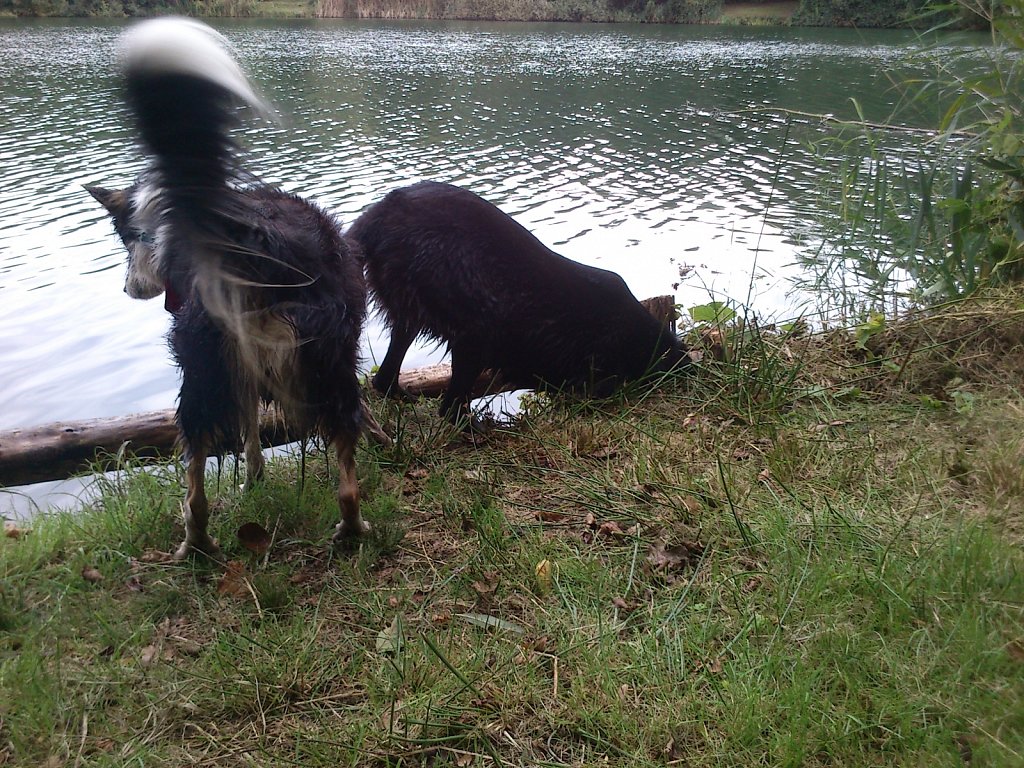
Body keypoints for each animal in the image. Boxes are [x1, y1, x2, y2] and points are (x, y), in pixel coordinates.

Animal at [89, 18, 380, 561]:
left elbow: (249, 432)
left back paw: (199, 544)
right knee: (343, 466)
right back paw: (346, 528)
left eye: (124, 240)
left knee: (198, 476)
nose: (127, 289)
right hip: (322, 358)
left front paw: (253, 479)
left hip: (210, 367)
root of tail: (264, 243)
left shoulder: (240, 366)